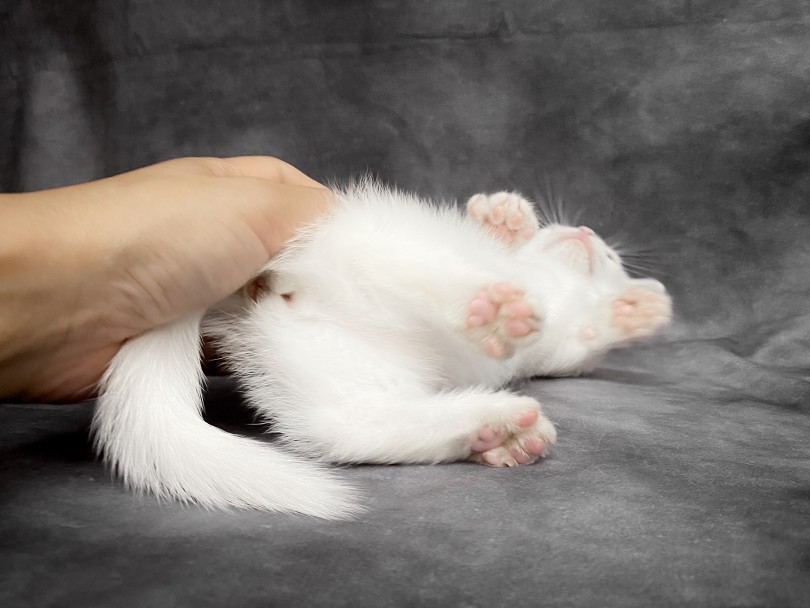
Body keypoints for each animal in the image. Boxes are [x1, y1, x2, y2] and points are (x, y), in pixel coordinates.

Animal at [91, 182, 668, 516]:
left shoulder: (560, 350)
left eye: (611, 258)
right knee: (416, 267)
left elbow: (580, 345)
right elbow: (507, 247)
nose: (588, 232)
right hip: (368, 242)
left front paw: (630, 309)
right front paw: (506, 218)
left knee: (351, 427)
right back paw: (485, 306)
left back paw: (497, 427)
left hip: (332, 367)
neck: (550, 284)